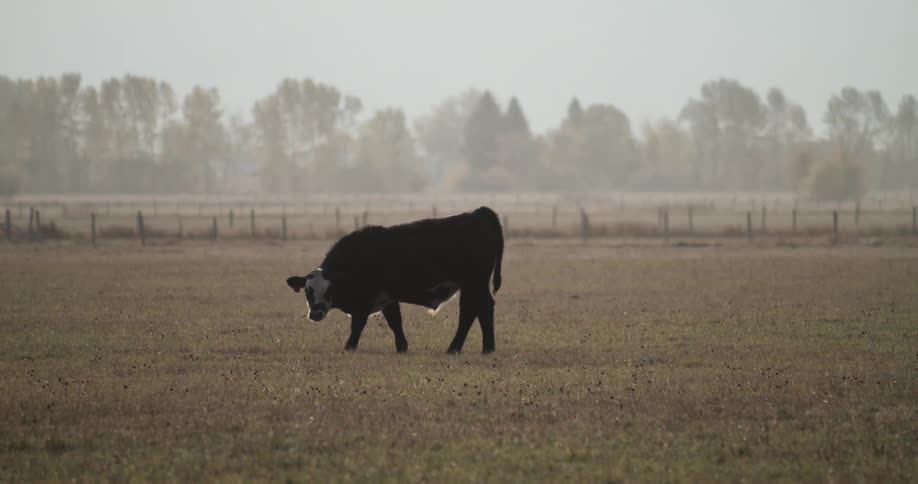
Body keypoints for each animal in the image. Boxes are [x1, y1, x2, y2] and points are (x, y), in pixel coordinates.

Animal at [286, 206, 504, 354]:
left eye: (329, 290)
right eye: (308, 290)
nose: (315, 313)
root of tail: (479, 213)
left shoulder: (366, 301)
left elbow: (358, 324)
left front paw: (349, 347)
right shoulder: (388, 298)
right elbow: (395, 322)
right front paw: (402, 347)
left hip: (474, 283)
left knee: (474, 309)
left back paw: (467, 348)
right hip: (472, 285)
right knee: (478, 309)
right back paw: (481, 348)